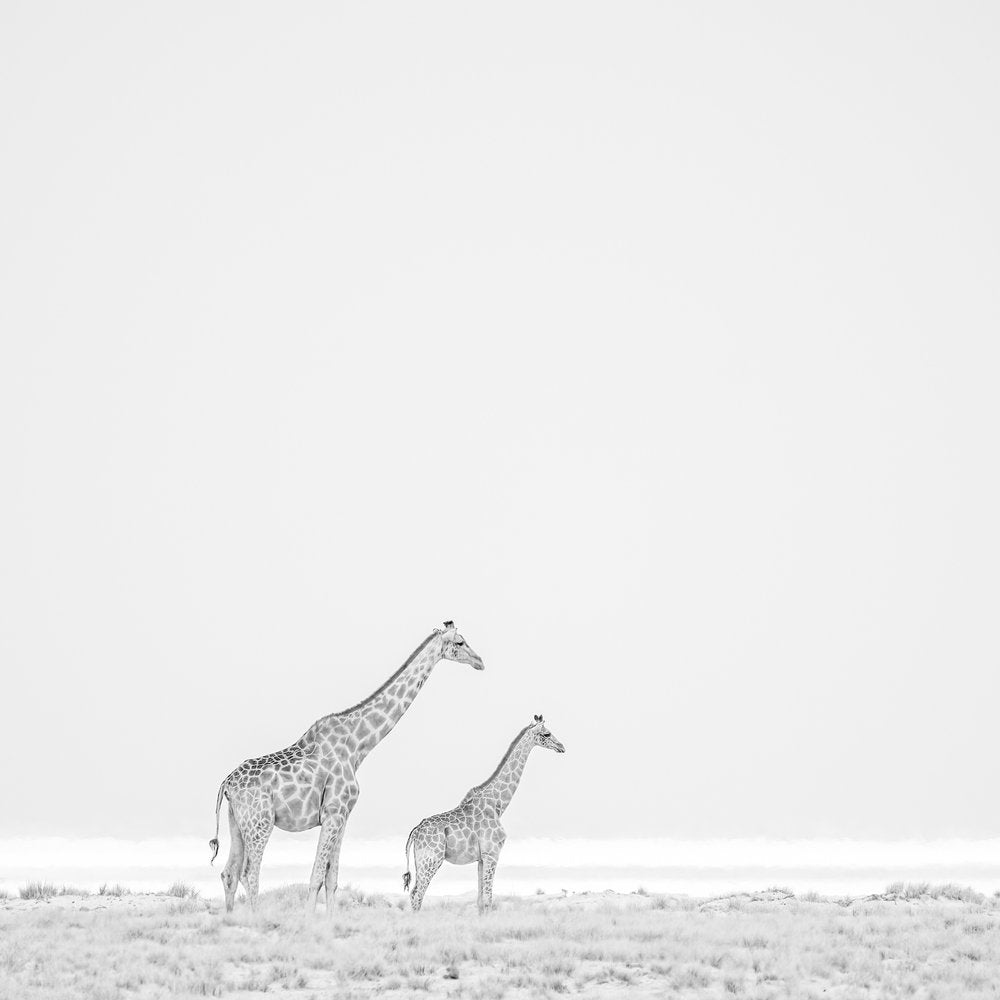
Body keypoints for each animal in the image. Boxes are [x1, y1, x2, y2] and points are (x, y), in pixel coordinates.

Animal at [208, 622, 484, 913]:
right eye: (460, 642)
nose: (480, 662)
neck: (358, 745)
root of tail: (226, 783)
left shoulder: (343, 816)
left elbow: (332, 880)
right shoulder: (333, 812)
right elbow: (317, 877)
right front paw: (309, 921)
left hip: (237, 822)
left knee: (229, 873)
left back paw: (231, 919)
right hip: (260, 821)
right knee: (249, 873)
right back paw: (255, 918)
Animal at [402, 714, 565, 913]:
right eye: (546, 733)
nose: (561, 747)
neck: (498, 805)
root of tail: (415, 831)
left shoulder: (481, 858)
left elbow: (480, 901)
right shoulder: (492, 854)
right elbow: (488, 900)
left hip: (421, 861)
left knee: (414, 893)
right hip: (431, 860)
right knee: (417, 895)